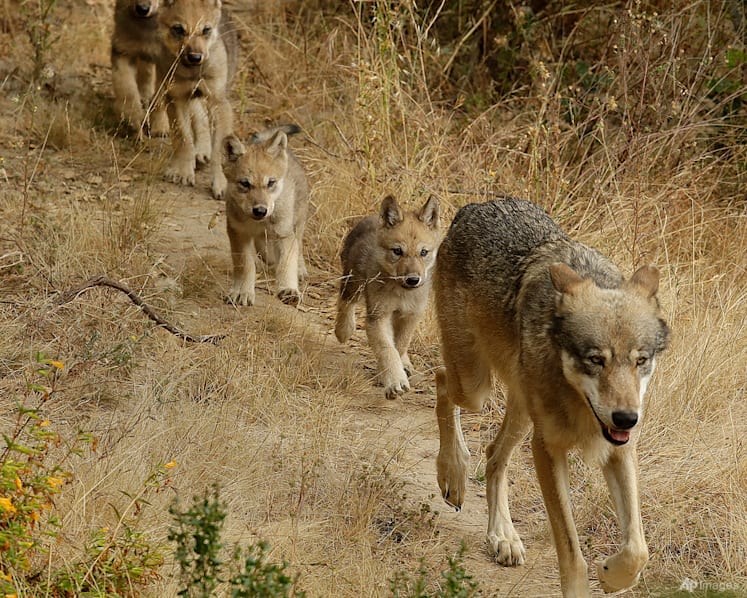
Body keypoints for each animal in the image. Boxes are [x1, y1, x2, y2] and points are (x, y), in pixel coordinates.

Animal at [111, 0, 170, 136]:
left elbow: (161, 97)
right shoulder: (123, 50)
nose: (142, 9)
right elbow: (127, 89)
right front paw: (131, 121)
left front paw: (160, 127)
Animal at [156, 0, 238, 199]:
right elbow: (183, 137)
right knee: (199, 118)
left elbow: (218, 151)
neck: (193, 72)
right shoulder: (176, 98)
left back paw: (201, 152)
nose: (195, 57)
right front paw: (183, 171)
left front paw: (221, 183)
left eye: (206, 29)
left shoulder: (219, 102)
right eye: (178, 29)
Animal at [222, 125, 309, 307]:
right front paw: (242, 292)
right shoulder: (238, 234)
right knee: (266, 253)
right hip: (264, 245)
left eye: (271, 183)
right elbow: (245, 265)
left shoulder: (284, 234)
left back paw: (300, 270)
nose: (260, 211)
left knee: (298, 247)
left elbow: (286, 264)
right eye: (245, 183)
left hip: (297, 224)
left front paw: (288, 290)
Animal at [335, 195, 441, 399]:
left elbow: (399, 346)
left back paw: (406, 364)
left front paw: (388, 374)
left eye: (423, 252)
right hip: (353, 282)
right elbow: (388, 349)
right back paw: (343, 330)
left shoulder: (411, 316)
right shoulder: (378, 316)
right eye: (397, 251)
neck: (402, 294)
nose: (413, 280)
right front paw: (394, 381)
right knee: (345, 302)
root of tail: (370, 217)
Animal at [434, 197, 670, 597]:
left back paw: (503, 537)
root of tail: (476, 205)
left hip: (518, 411)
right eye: (595, 359)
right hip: (475, 388)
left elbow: (638, 549)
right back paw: (453, 474)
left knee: (493, 455)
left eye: (640, 361)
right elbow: (572, 553)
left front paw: (611, 574)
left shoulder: (620, 450)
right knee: (439, 381)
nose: (626, 418)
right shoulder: (547, 448)